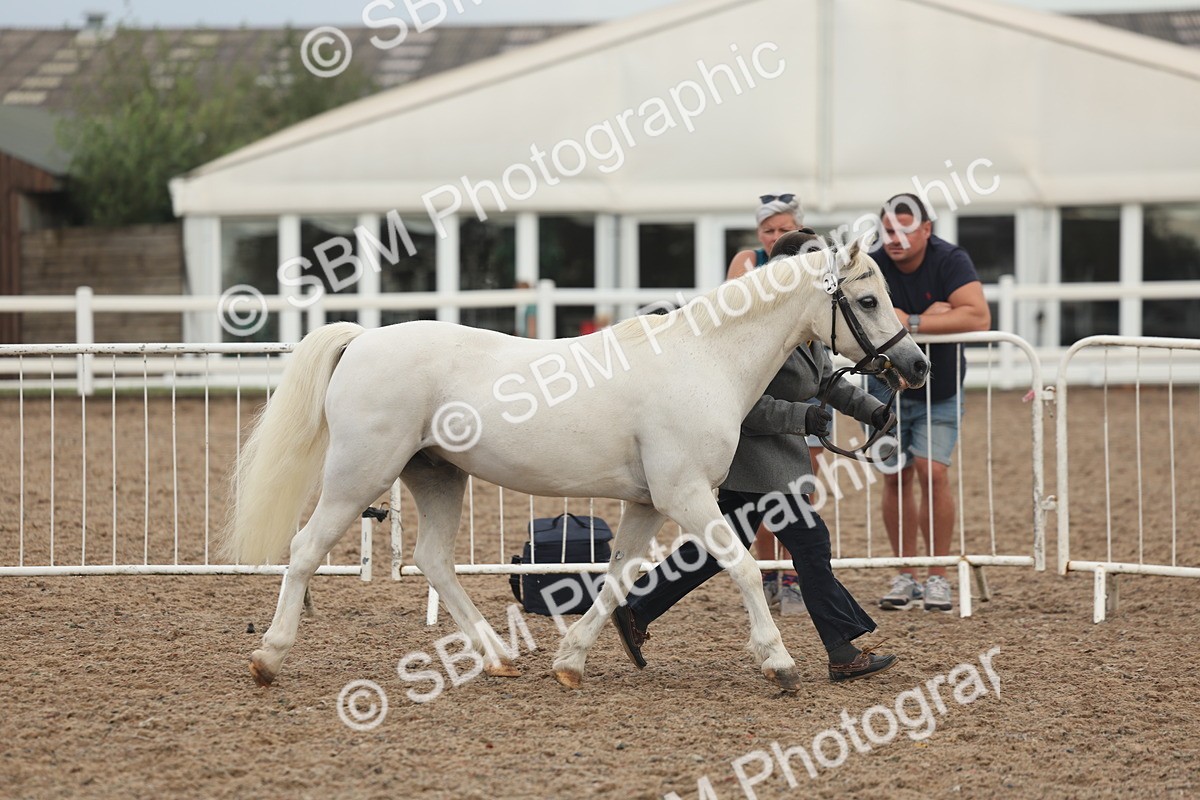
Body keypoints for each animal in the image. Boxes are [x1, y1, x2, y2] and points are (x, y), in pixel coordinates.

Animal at [225, 238, 929, 691]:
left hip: (437, 474)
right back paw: (269, 659)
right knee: (306, 550)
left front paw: (571, 663)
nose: (917, 366)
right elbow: (745, 569)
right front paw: (779, 664)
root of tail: (364, 339)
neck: (704, 359)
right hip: (358, 476)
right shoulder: (686, 495)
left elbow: (618, 580)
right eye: (868, 300)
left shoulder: (648, 503)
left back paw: (498, 658)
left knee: (433, 560)